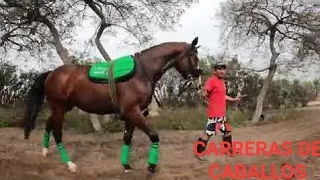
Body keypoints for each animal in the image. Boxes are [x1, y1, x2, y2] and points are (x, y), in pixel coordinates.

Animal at [21, 37, 202, 174]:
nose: (198, 82)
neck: (141, 72)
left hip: (62, 107)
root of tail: (51, 73)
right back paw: (70, 164)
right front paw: (151, 166)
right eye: (195, 57)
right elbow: (153, 135)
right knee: (57, 133)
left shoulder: (132, 114)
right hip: (59, 108)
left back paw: (45, 151)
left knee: (49, 124)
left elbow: (127, 138)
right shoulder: (132, 111)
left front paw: (126, 166)